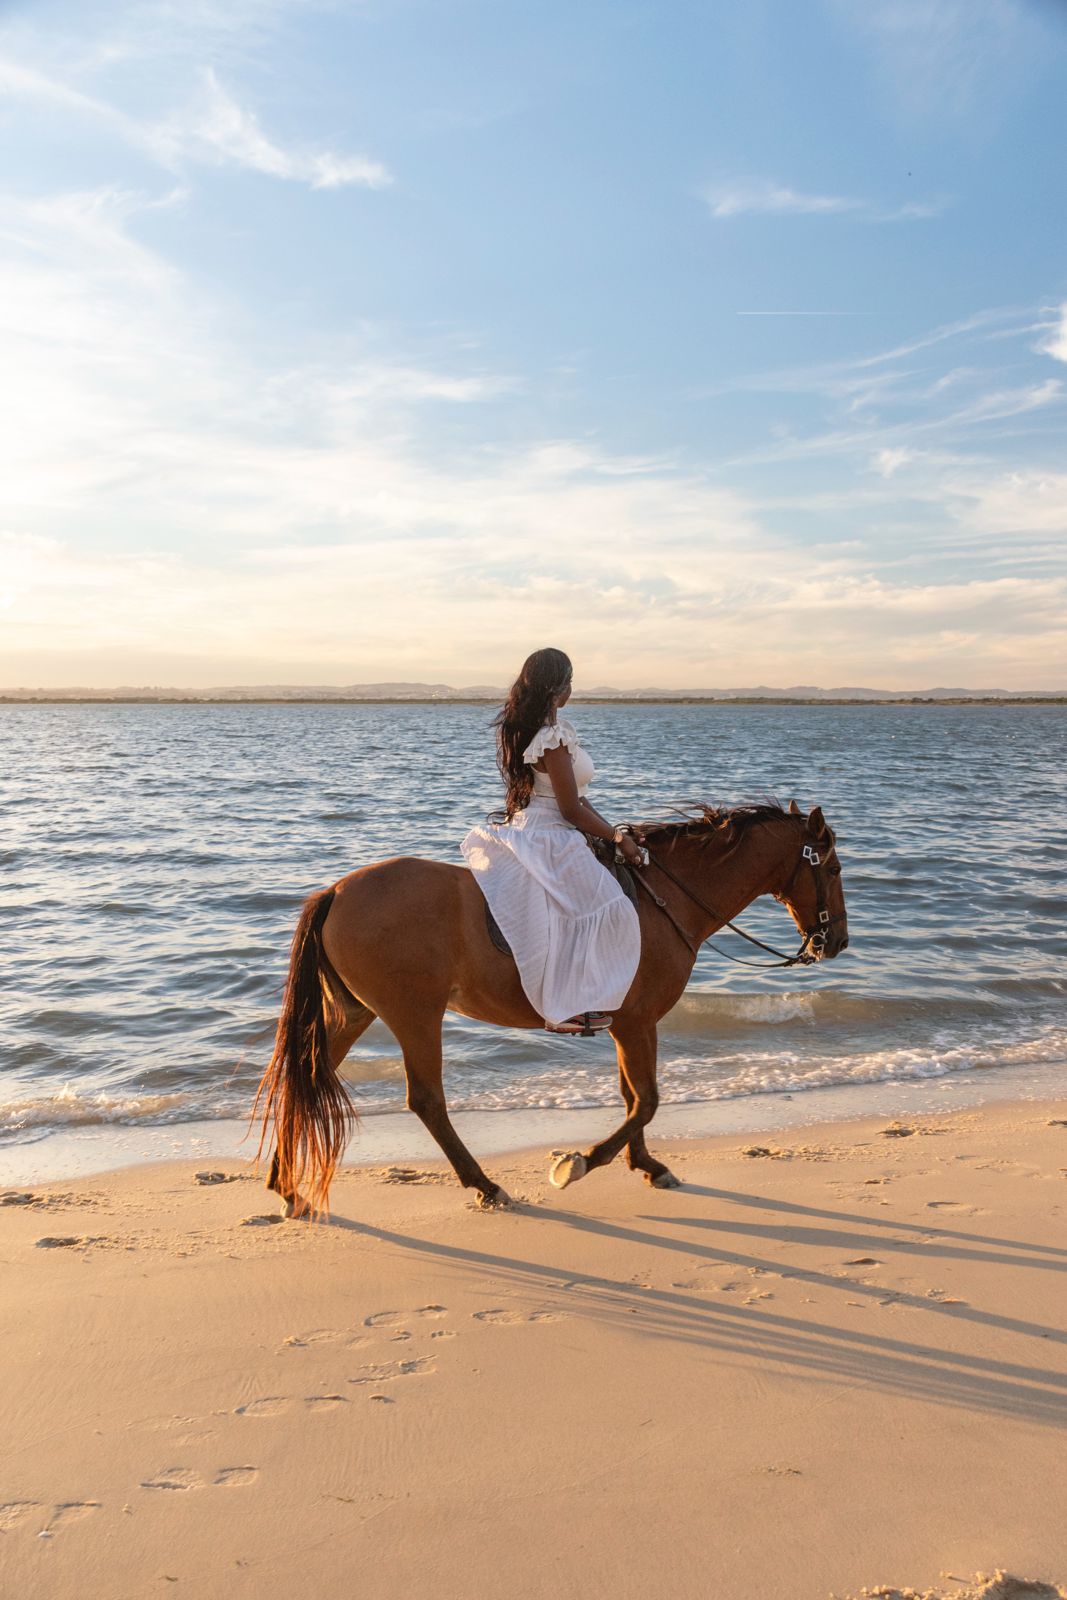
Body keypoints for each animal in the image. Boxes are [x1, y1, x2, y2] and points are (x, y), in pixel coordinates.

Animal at [254, 799, 848, 1216]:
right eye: (834, 869)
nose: (837, 942)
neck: (665, 899)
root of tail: (336, 891)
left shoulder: (627, 1025)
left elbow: (634, 1097)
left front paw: (646, 1164)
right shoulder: (637, 1022)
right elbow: (647, 1101)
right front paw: (581, 1162)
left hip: (357, 1012)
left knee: (308, 1075)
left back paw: (286, 1187)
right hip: (414, 1014)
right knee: (426, 1100)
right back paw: (485, 1185)